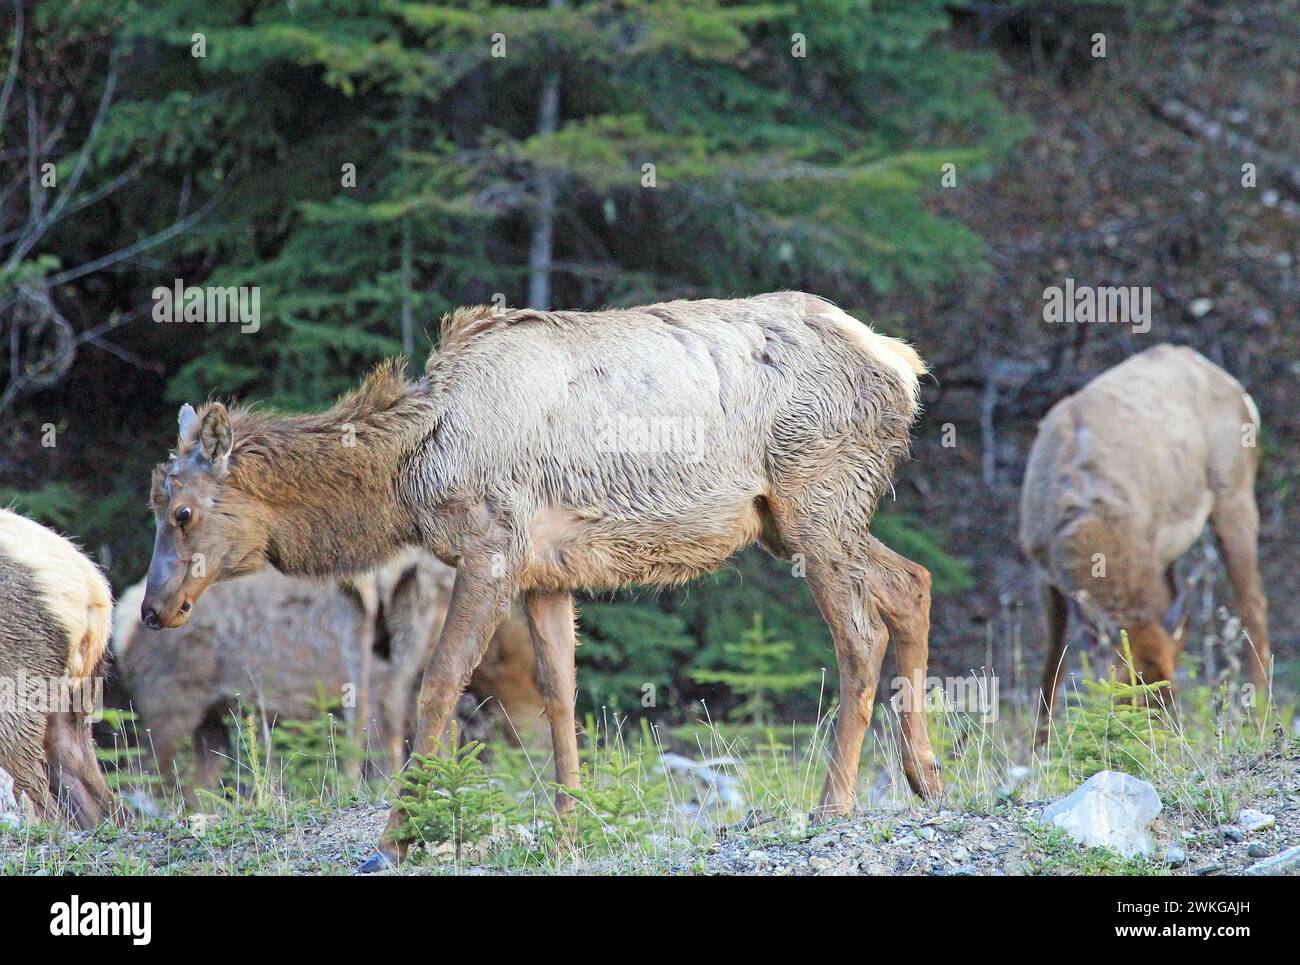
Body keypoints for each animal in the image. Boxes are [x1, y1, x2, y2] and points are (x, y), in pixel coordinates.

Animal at [137, 292, 941, 868]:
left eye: (181, 511)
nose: (153, 608)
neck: (411, 471)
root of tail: (902, 366)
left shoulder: (491, 550)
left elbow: (439, 684)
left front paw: (399, 833)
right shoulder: (544, 573)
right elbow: (559, 694)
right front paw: (569, 825)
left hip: (815, 499)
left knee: (859, 632)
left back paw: (834, 805)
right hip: (793, 519)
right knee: (912, 582)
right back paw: (926, 777)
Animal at [1024, 343, 1268, 738]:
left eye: (1169, 694)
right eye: (1123, 699)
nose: (1160, 742)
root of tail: (1236, 388)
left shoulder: (1149, 553)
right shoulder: (1043, 570)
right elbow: (1052, 658)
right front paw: (1039, 744)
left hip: (1235, 491)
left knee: (1254, 603)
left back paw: (1256, 717)